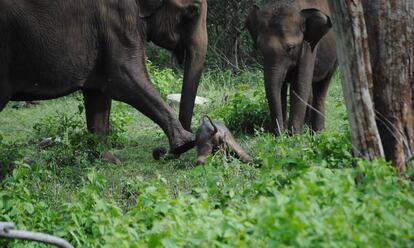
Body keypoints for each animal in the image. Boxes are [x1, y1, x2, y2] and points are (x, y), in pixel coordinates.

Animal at [0, 0, 207, 161]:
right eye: (193, 10)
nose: (159, 152)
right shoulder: (117, 20)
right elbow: (126, 78)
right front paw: (185, 143)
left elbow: (99, 93)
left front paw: (107, 160)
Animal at [246, 0, 336, 136]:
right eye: (260, 47)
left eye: (290, 48)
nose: (279, 133)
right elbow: (281, 87)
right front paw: (282, 135)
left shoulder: (308, 47)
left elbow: (299, 84)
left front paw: (294, 136)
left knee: (321, 87)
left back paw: (317, 132)